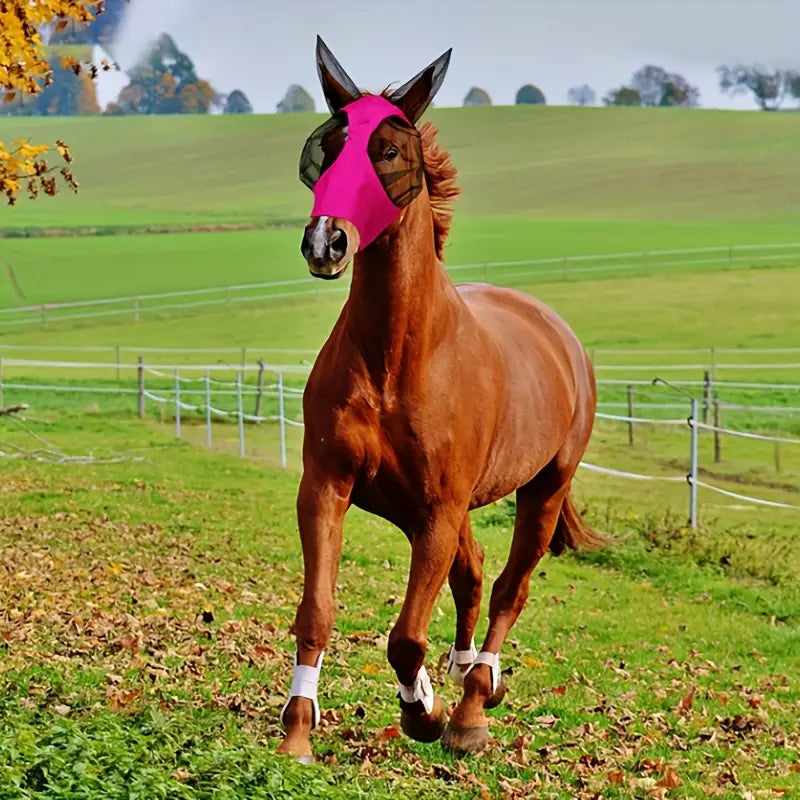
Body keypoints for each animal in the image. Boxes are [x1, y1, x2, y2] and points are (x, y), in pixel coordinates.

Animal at [278, 36, 605, 762]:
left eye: (388, 152)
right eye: (326, 147)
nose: (326, 241)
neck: (397, 360)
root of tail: (560, 335)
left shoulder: (438, 510)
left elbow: (405, 637)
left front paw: (422, 712)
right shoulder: (329, 487)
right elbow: (317, 612)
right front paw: (296, 733)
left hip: (541, 490)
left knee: (510, 587)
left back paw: (473, 704)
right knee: (474, 574)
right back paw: (462, 674)